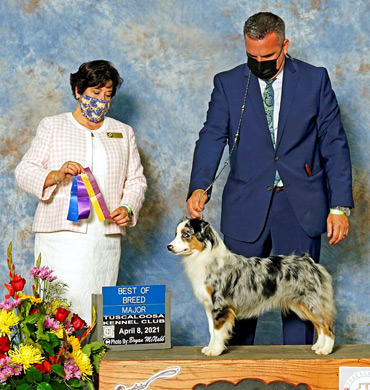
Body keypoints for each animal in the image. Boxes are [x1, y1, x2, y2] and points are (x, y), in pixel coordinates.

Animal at [167, 218, 336, 354]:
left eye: (185, 234)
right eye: (175, 234)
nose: (169, 246)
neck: (204, 256)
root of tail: (310, 262)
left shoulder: (220, 305)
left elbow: (218, 330)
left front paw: (215, 351)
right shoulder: (209, 306)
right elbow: (212, 330)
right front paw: (210, 348)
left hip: (311, 302)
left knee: (327, 325)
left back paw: (326, 349)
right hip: (303, 305)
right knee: (319, 325)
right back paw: (319, 346)